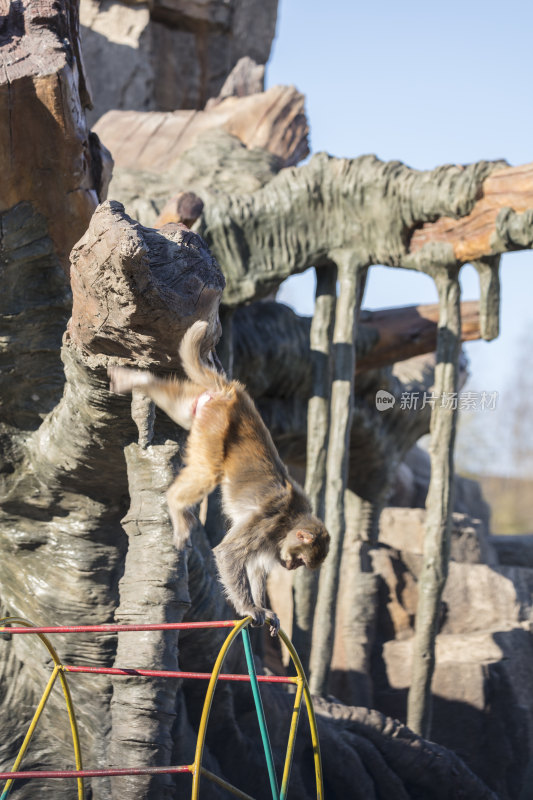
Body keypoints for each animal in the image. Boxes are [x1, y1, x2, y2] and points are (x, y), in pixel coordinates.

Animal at [109, 322, 328, 636]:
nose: (289, 568)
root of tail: (231, 392)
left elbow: (256, 567)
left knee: (179, 408)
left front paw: (266, 609)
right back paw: (175, 506)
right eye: (300, 560)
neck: (291, 519)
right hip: (215, 425)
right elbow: (228, 555)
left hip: (204, 410)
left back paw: (135, 379)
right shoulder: (267, 522)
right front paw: (250, 608)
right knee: (208, 470)